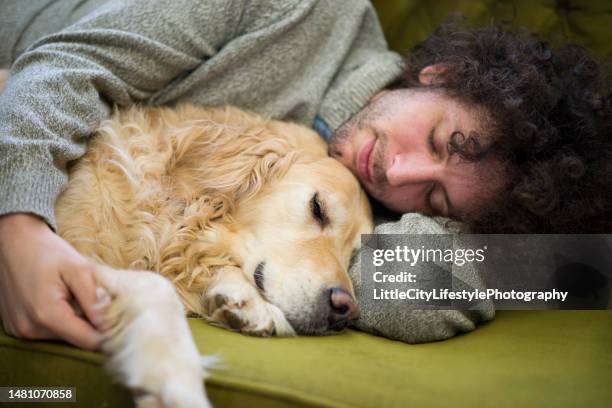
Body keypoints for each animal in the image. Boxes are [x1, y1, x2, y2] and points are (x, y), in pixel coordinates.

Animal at [1, 70, 372, 408]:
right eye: (318, 208)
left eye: (353, 253)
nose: (346, 310)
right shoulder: (70, 255)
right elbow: (156, 287)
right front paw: (176, 382)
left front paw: (245, 300)